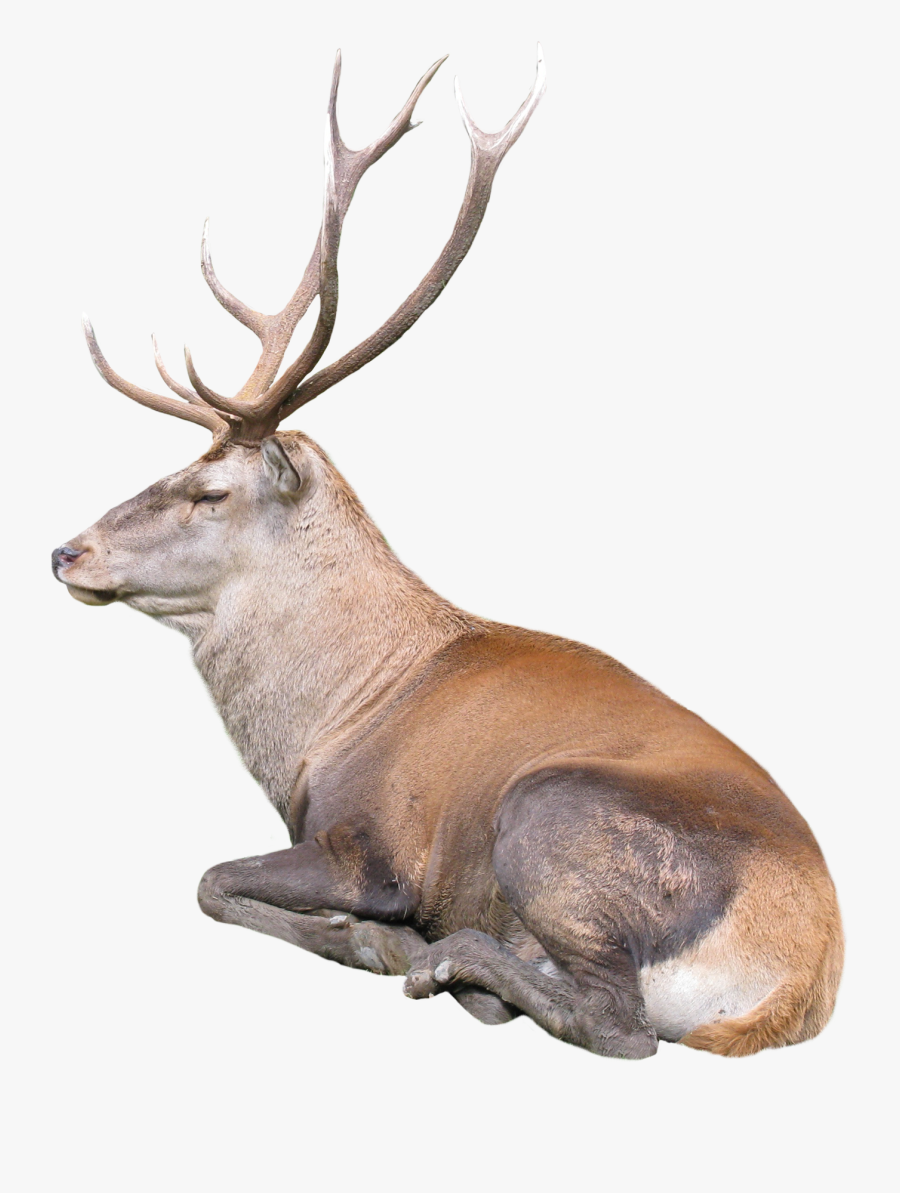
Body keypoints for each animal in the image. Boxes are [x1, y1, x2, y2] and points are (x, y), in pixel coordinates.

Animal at [52, 50, 842, 1059]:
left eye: (209, 491)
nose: (66, 551)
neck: (325, 725)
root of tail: (799, 980)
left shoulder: (373, 846)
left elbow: (211, 879)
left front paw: (373, 938)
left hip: (550, 811)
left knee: (619, 1025)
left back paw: (446, 961)